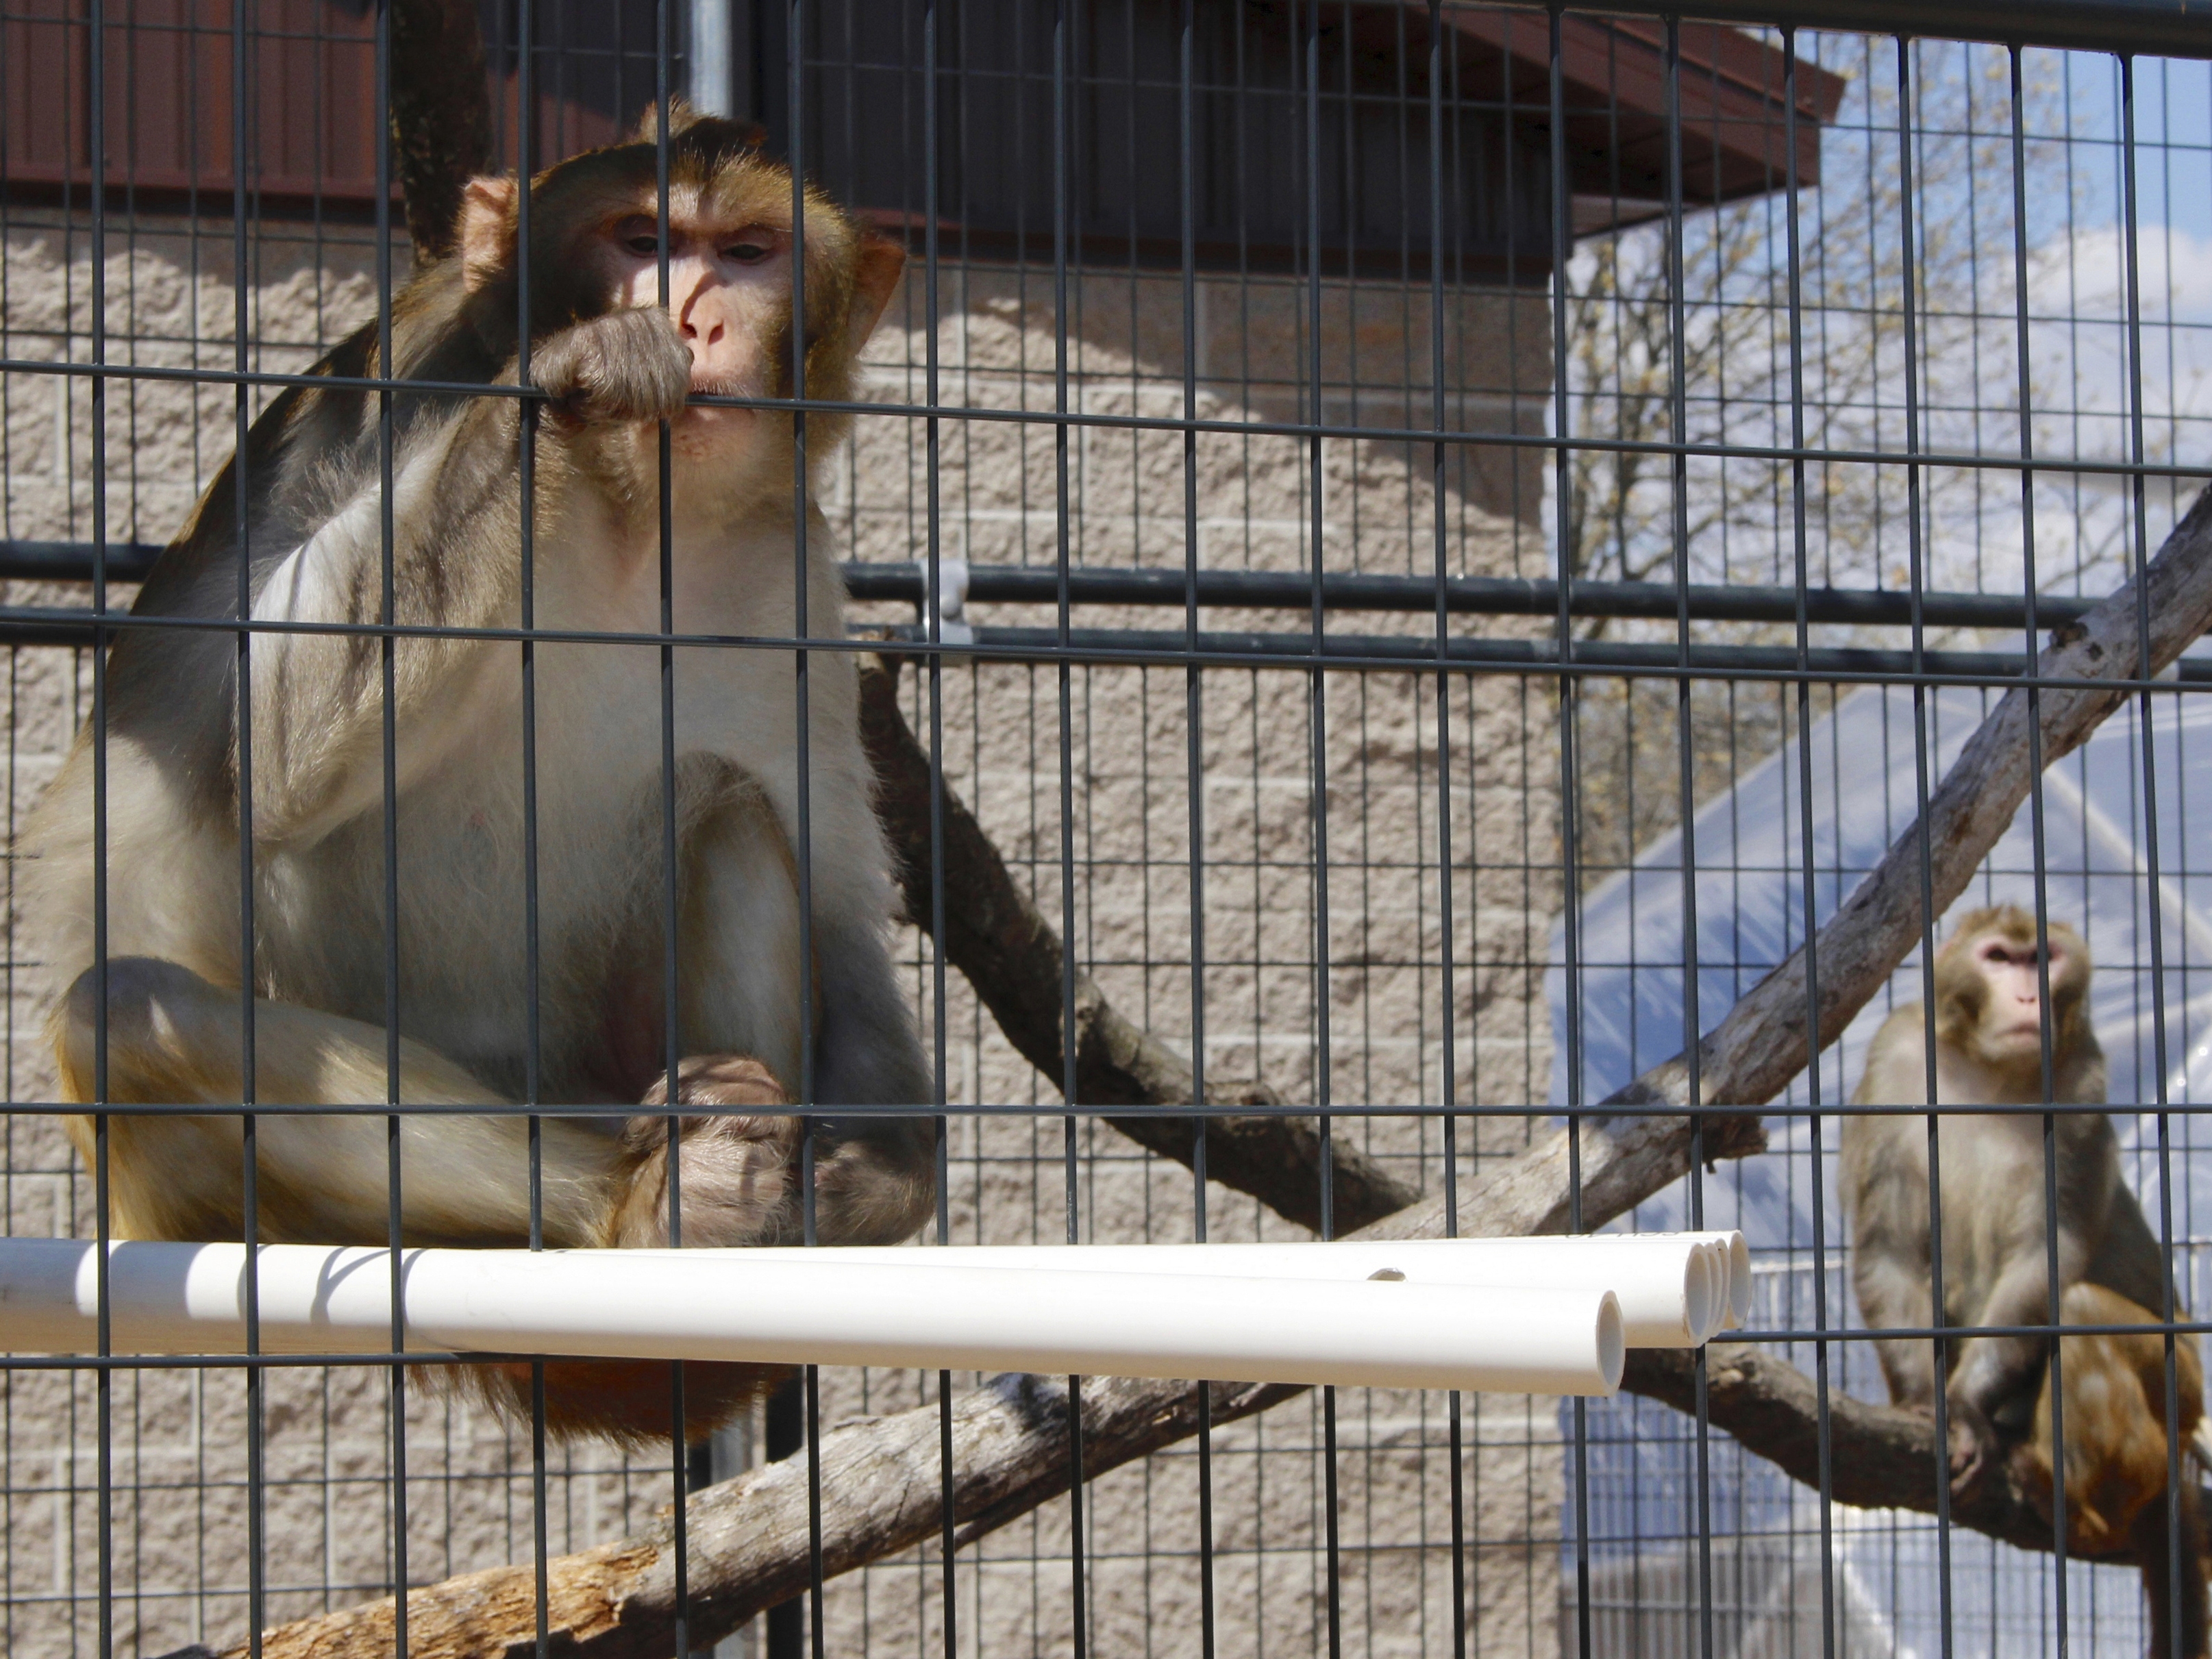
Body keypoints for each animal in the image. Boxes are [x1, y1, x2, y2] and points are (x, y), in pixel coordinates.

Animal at [15, 103, 935, 1446]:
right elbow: (261, 748)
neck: (633, 515)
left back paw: (727, 1205)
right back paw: (642, 1211)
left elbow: (833, 889)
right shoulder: (389, 390)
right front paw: (577, 378)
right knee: (130, 1015)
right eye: (642, 238)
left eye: (749, 251)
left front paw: (879, 1176)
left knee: (729, 814)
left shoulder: (790, 571)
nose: (696, 318)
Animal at [1845, 905, 2205, 1651]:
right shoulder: (1895, 1060)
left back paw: (2082, 1505)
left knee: (2082, 1310)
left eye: (2042, 958)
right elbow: (1890, 1248)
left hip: (2182, 1386)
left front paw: (1964, 1407)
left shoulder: (2081, 1081)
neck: (1988, 1070)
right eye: (1999, 957)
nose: (2028, 996)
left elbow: (2047, 1253)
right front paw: (1925, 1401)